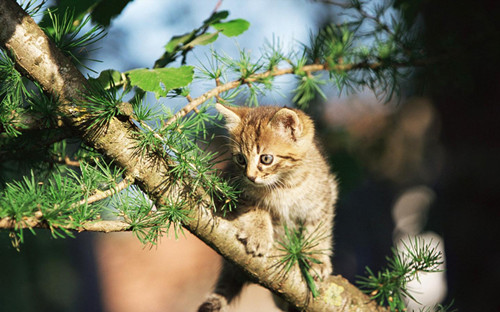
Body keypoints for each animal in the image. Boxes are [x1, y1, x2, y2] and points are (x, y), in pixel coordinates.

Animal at [197, 105, 338, 312]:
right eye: (240, 159)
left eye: (266, 159)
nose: (250, 176)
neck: (284, 185)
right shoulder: (232, 187)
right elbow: (255, 208)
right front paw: (259, 234)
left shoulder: (323, 199)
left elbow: (318, 231)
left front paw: (316, 258)